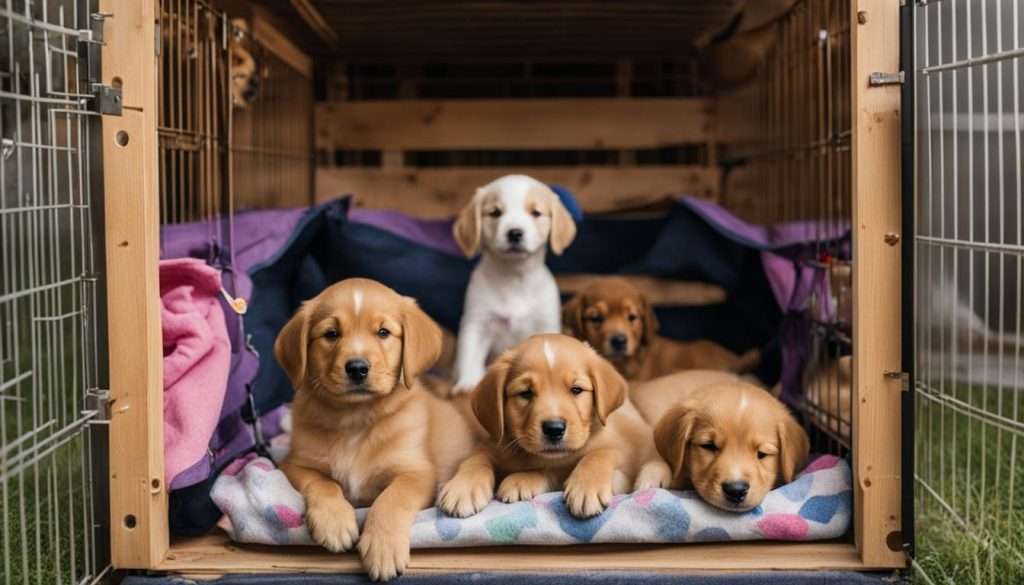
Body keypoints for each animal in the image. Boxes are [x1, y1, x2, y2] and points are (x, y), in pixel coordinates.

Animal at [274, 278, 477, 581]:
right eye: (331, 334)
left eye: (383, 332)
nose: (357, 368)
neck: (356, 419)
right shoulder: (295, 463)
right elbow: (323, 483)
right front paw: (334, 522)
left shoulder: (416, 472)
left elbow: (391, 499)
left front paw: (383, 548)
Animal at [438, 331, 671, 520]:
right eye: (526, 393)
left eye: (576, 390)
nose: (554, 429)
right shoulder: (493, 443)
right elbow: (475, 459)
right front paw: (463, 488)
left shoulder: (619, 452)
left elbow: (599, 453)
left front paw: (586, 486)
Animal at [452, 174, 581, 393]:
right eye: (495, 212)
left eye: (535, 212)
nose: (514, 233)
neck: (514, 278)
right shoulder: (477, 323)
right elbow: (470, 355)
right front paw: (468, 382)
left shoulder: (545, 323)